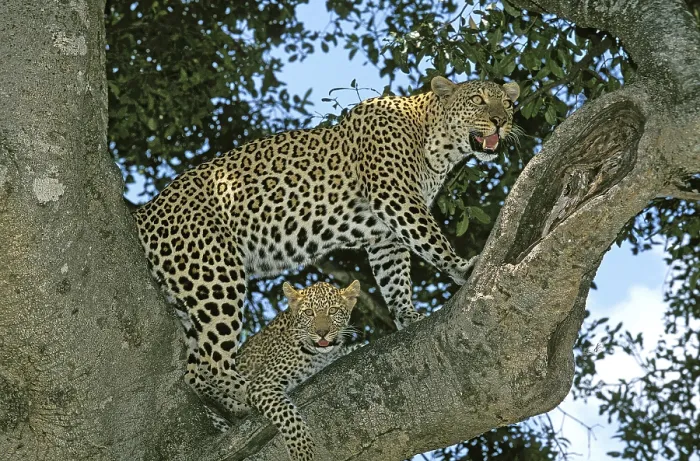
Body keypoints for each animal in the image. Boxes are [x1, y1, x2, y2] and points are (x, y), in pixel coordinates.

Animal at [132, 75, 520, 429]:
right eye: (478, 100)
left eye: (507, 103)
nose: (501, 120)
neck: (436, 144)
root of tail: (143, 212)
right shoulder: (396, 199)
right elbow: (430, 238)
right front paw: (460, 268)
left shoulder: (384, 235)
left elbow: (394, 277)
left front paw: (407, 316)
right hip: (214, 277)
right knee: (207, 364)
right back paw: (246, 395)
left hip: (187, 294)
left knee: (193, 365)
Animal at [203, 281, 361, 461]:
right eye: (309, 312)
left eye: (333, 310)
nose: (322, 333)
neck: (320, 355)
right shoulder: (262, 385)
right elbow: (288, 415)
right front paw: (302, 451)